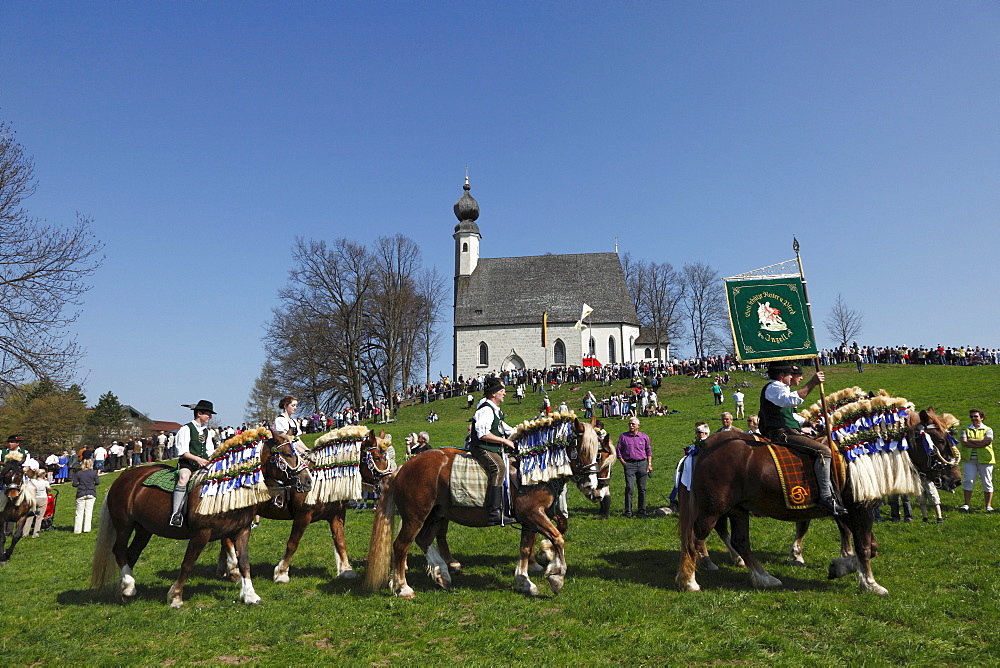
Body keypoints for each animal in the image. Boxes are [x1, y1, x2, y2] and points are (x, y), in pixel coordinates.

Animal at [89, 430, 312, 608]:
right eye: (287, 454)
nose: (308, 481)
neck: (229, 487)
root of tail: (122, 478)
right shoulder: (201, 534)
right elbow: (188, 564)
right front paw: (175, 597)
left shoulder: (241, 530)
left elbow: (244, 563)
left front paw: (250, 595)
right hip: (124, 525)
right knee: (119, 551)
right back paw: (128, 587)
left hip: (144, 529)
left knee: (131, 554)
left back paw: (126, 589)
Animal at [217, 430, 396, 580]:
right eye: (377, 458)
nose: (389, 482)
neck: (324, 478)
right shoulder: (303, 516)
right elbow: (293, 543)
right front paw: (281, 573)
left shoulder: (336, 515)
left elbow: (340, 541)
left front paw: (346, 570)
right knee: (227, 539)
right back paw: (233, 569)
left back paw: (225, 568)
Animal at [366, 418, 600, 600]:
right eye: (581, 450)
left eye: (599, 452)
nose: (591, 487)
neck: (531, 465)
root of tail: (403, 468)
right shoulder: (533, 514)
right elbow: (558, 537)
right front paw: (556, 576)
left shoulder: (531, 518)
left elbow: (528, 547)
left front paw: (525, 580)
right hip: (416, 516)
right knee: (401, 546)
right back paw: (403, 588)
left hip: (435, 514)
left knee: (423, 540)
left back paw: (442, 574)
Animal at [676, 408, 964, 596]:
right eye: (939, 441)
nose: (957, 479)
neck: (864, 453)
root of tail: (701, 447)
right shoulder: (859, 510)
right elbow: (864, 547)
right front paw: (870, 583)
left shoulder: (849, 511)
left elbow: (867, 545)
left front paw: (840, 566)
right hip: (713, 508)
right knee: (694, 538)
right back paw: (690, 580)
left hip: (738, 509)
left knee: (740, 542)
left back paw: (763, 578)